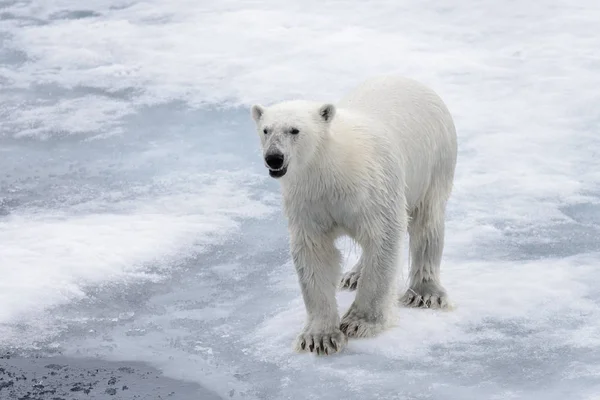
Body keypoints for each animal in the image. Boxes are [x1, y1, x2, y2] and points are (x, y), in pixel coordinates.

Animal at [251, 76, 458, 356]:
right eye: (266, 130)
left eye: (295, 130)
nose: (274, 158)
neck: (334, 168)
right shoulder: (308, 200)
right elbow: (314, 252)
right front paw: (319, 337)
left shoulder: (374, 188)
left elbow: (384, 237)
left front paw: (359, 322)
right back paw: (353, 275)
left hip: (436, 160)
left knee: (427, 221)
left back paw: (425, 292)